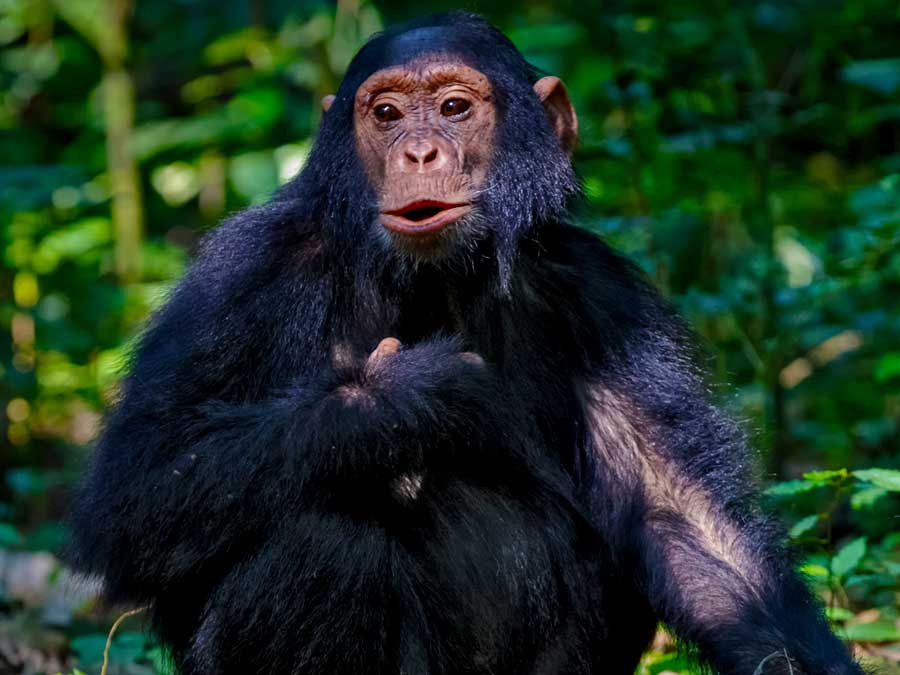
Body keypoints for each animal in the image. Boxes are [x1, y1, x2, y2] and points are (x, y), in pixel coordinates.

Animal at [70, 11, 864, 675]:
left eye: (454, 107)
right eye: (386, 114)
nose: (419, 150)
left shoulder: (604, 300)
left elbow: (687, 524)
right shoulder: (243, 274)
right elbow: (141, 482)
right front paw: (407, 396)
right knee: (320, 539)